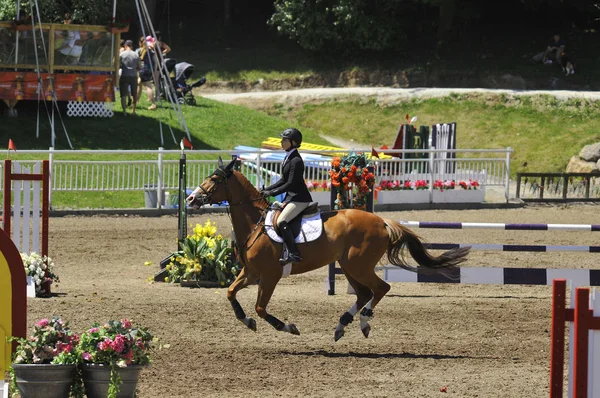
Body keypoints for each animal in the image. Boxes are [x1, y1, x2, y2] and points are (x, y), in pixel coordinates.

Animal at [188, 157, 468, 340]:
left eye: (215, 179)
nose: (191, 198)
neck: (255, 223)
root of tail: (381, 221)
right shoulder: (251, 273)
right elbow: (230, 293)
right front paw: (247, 321)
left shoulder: (269, 276)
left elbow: (260, 307)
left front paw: (288, 327)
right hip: (349, 266)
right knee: (364, 294)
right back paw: (342, 326)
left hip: (358, 265)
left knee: (380, 289)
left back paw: (363, 322)